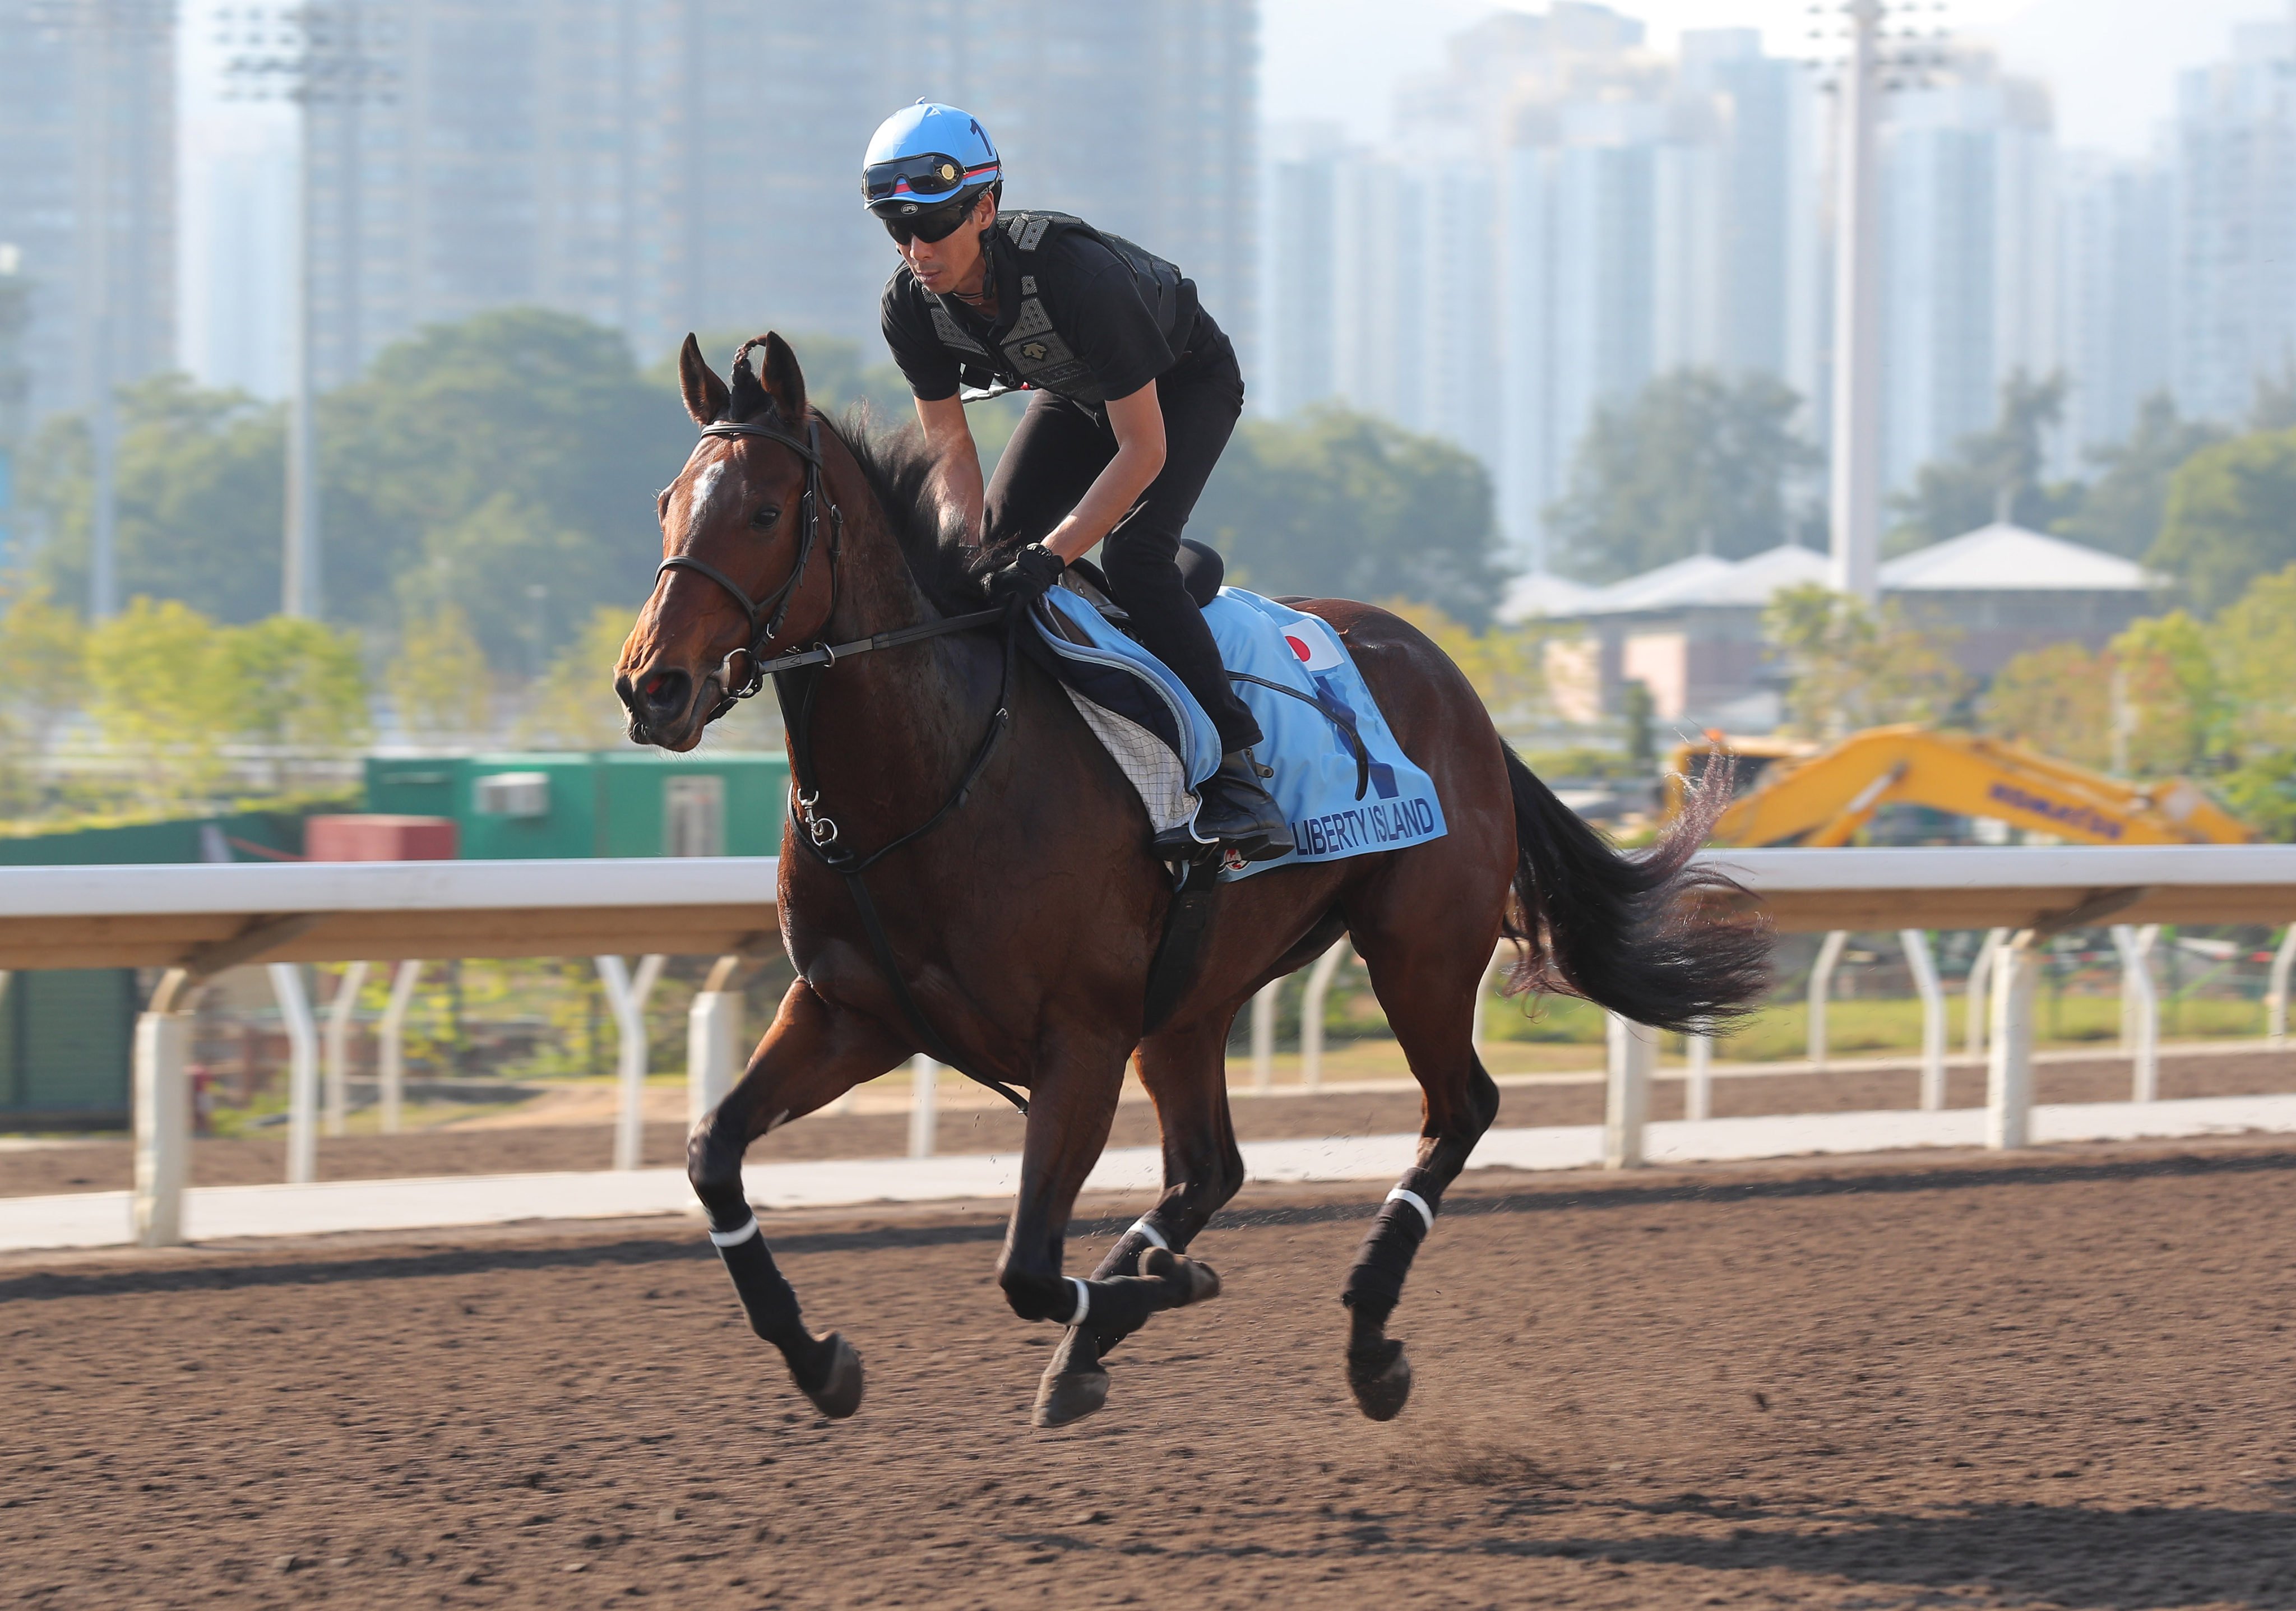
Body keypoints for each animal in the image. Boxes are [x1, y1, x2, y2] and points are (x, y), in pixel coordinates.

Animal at [619, 335, 1763, 1432]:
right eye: (667, 501)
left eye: (766, 510)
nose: (650, 685)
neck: (934, 771)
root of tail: (1456, 684)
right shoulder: (850, 1012)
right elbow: (712, 1152)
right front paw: (818, 1356)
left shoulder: (1079, 1039)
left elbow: (1026, 1267)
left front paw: (1167, 1288)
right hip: (1194, 996)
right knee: (1210, 1165)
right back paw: (1115, 1326)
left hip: (1419, 949)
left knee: (1459, 1109)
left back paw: (1363, 1338)